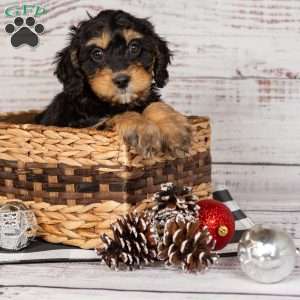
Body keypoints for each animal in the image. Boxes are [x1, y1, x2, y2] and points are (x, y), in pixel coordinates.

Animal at [35, 9, 190, 157]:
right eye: (97, 53)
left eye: (134, 47)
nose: (121, 80)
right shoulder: (85, 125)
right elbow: (118, 116)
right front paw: (143, 129)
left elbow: (156, 105)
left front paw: (174, 129)